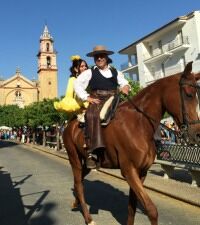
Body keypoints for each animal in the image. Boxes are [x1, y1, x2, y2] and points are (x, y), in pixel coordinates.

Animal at [62, 62, 200, 225]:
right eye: (188, 94)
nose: (196, 134)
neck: (139, 124)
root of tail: (69, 125)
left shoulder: (141, 172)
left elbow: (132, 206)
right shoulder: (129, 171)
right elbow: (151, 210)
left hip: (86, 163)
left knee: (80, 181)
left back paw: (75, 203)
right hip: (74, 159)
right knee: (78, 184)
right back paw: (88, 218)